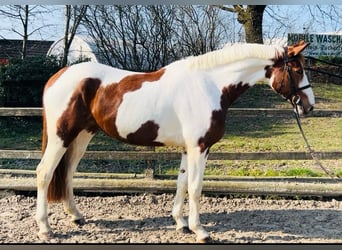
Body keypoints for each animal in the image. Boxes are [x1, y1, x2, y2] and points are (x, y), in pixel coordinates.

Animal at [36, 41, 314, 242]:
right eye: (297, 70)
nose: (309, 106)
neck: (209, 84)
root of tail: (58, 76)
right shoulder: (200, 148)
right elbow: (195, 187)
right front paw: (200, 230)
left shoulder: (188, 149)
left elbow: (181, 183)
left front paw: (180, 223)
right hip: (62, 136)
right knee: (45, 172)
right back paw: (45, 228)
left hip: (82, 135)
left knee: (67, 172)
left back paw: (76, 216)